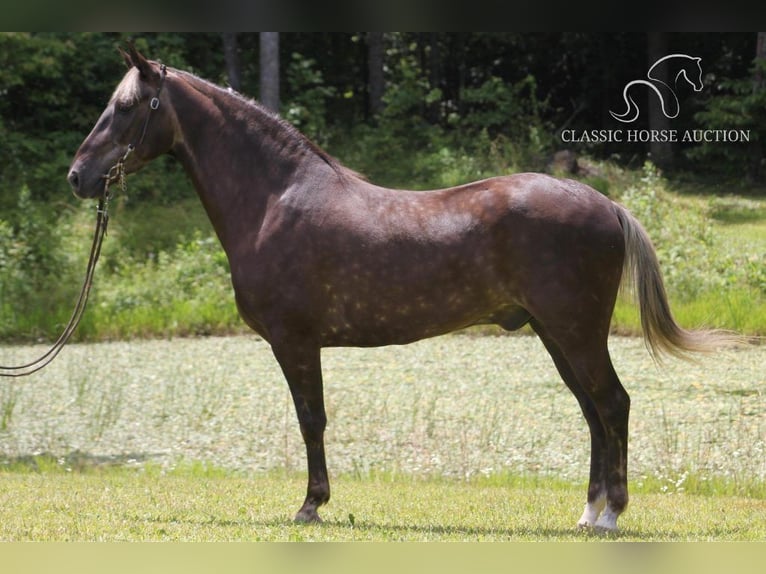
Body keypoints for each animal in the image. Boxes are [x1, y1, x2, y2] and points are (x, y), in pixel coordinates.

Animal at [64, 45, 728, 532]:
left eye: (127, 106)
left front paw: (311, 505)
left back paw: (611, 514)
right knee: (592, 411)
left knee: (612, 404)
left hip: (576, 330)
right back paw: (589, 512)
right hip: (555, 334)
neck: (275, 198)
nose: (77, 176)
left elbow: (311, 419)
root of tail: (606, 204)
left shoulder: (295, 341)